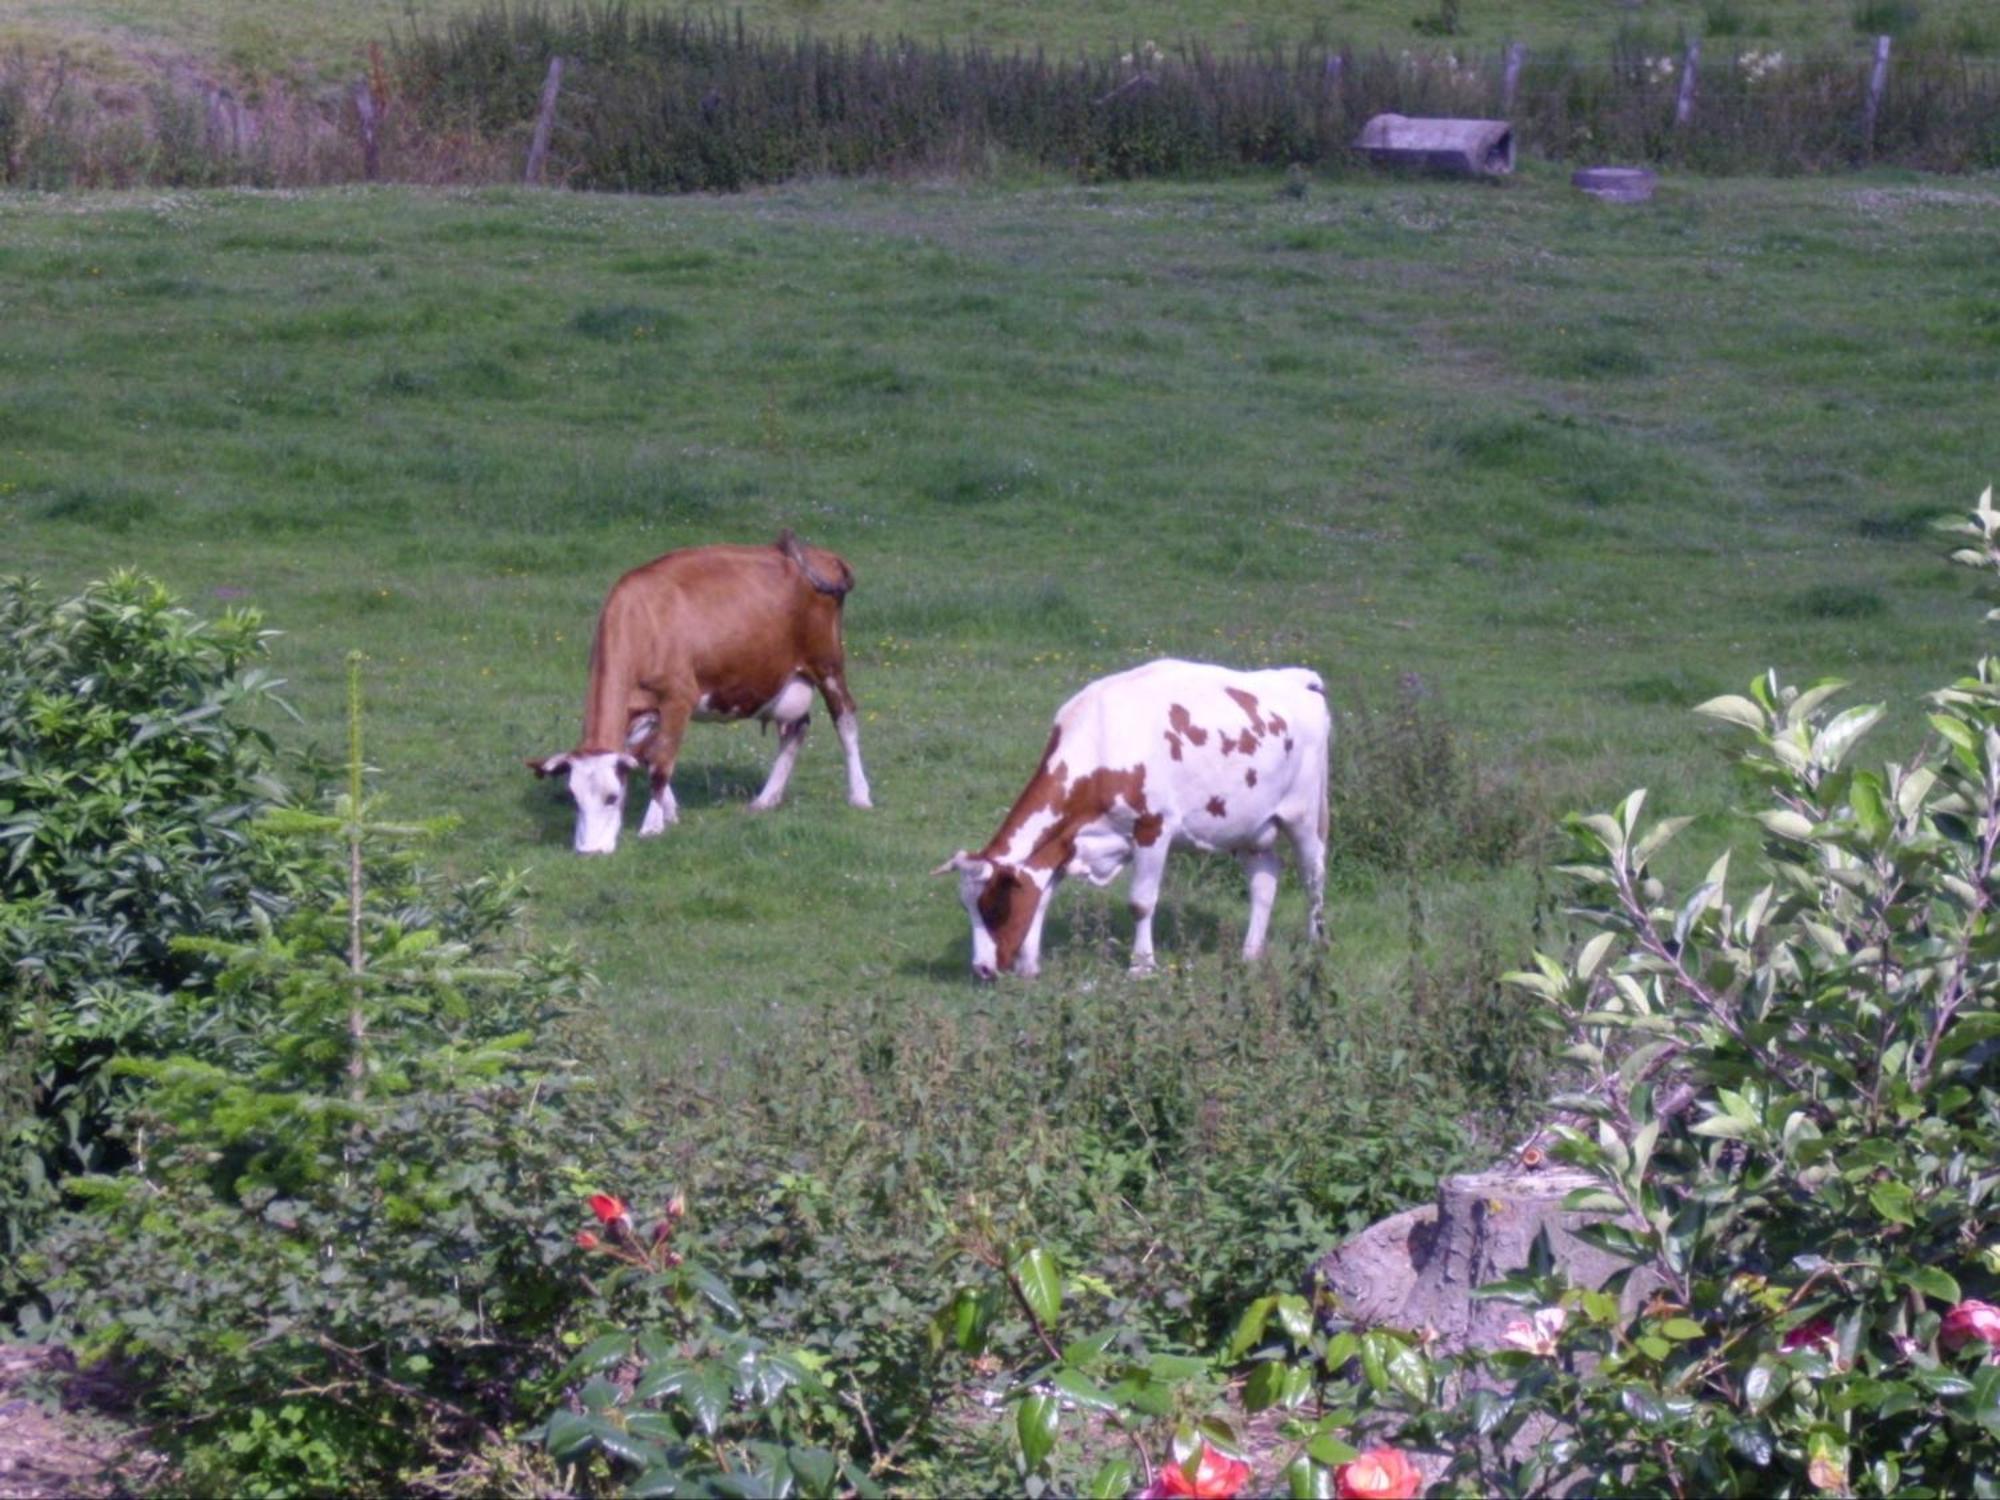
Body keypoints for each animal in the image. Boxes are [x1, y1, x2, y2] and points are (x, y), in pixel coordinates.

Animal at [528, 536, 872, 852]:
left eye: (612, 796)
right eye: (573, 797)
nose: (589, 851)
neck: (643, 621)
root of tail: (823, 554)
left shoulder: (678, 699)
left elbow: (660, 762)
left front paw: (652, 824)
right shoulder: (641, 710)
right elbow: (644, 756)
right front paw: (670, 811)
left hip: (827, 662)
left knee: (845, 720)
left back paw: (859, 794)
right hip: (787, 679)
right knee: (795, 729)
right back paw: (766, 798)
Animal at [936, 664, 1328, 980]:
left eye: (994, 908)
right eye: (967, 907)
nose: (981, 969)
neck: (1101, 739)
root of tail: (1297, 677)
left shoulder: (1154, 827)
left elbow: (1141, 902)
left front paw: (1141, 966)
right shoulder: (1065, 840)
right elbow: (1042, 896)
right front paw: (1029, 966)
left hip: (1304, 815)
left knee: (1313, 876)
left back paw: (1315, 943)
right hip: (1246, 826)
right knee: (1265, 879)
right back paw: (1250, 953)